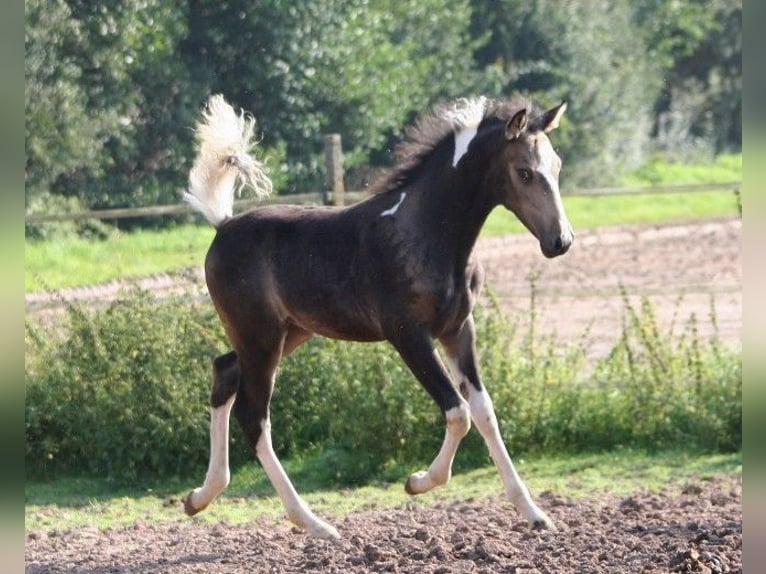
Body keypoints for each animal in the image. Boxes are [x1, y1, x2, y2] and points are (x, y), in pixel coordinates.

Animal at [183, 92, 572, 536]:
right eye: (524, 172)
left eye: (557, 166)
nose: (561, 241)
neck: (428, 232)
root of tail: (223, 225)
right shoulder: (408, 334)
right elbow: (458, 413)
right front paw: (418, 481)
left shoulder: (458, 329)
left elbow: (484, 411)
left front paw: (535, 513)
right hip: (260, 337)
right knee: (254, 416)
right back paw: (315, 524)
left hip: (287, 333)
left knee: (224, 373)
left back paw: (200, 496)